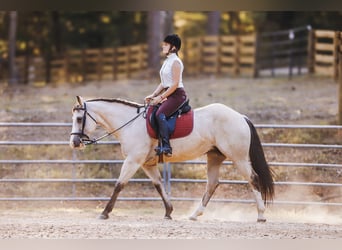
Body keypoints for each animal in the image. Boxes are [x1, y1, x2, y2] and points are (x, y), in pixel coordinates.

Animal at [69, 95, 276, 223]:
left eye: (79, 119)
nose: (74, 142)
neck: (129, 124)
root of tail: (240, 117)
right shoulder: (147, 164)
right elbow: (159, 185)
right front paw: (168, 212)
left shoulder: (133, 160)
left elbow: (119, 185)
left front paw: (104, 213)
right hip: (214, 157)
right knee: (212, 184)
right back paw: (194, 215)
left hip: (238, 158)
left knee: (253, 179)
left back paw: (261, 215)